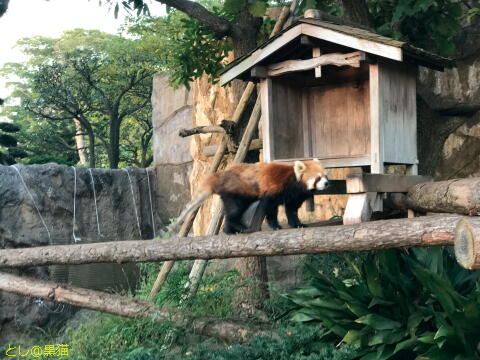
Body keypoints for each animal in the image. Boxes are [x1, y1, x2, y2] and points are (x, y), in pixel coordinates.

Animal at [170, 160, 330, 233]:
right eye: (318, 178)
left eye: (325, 176)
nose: (327, 183)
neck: (293, 182)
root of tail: (221, 175)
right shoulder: (274, 189)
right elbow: (270, 208)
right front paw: (276, 226)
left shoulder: (295, 196)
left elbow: (291, 210)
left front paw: (297, 224)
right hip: (236, 193)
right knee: (234, 211)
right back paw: (237, 228)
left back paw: (229, 231)